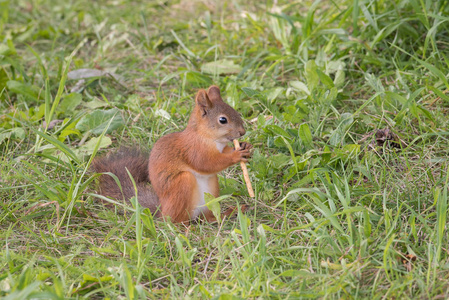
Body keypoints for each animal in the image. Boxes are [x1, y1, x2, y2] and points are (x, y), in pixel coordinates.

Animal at [92, 85, 252, 224]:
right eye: (222, 120)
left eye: (235, 111)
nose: (242, 132)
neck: (207, 137)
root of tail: (162, 210)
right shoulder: (194, 150)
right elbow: (206, 163)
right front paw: (235, 156)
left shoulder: (220, 148)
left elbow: (223, 153)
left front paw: (245, 146)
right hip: (182, 184)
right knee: (174, 221)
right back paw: (186, 227)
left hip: (211, 190)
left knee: (207, 217)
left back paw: (227, 213)